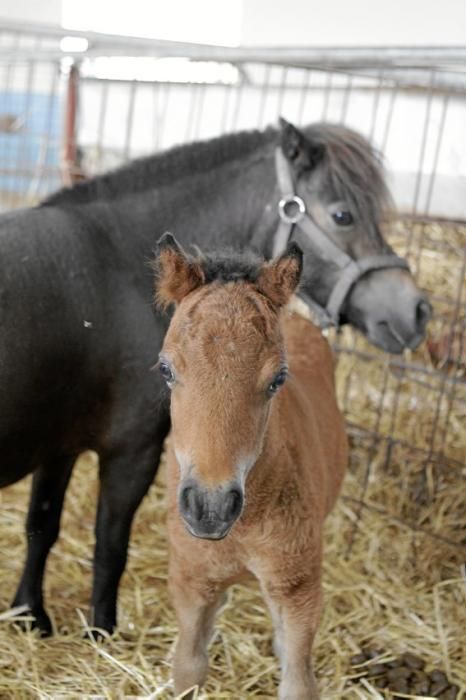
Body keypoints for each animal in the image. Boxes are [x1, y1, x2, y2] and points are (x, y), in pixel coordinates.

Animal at [0, 119, 430, 636]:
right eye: (342, 215)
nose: (416, 310)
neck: (117, 266)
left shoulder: (60, 444)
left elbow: (41, 526)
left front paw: (29, 615)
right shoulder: (132, 450)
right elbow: (110, 545)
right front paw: (101, 630)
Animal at [155, 232, 348, 696]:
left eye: (278, 379)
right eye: (166, 369)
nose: (210, 508)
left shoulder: (298, 588)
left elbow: (298, 683)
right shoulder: (189, 579)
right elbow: (188, 668)